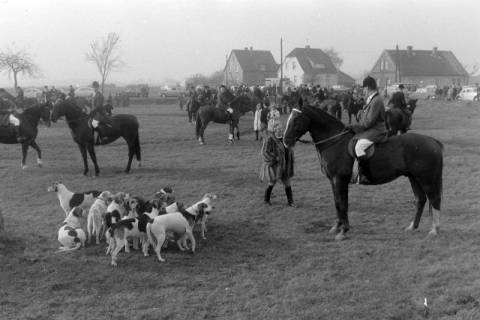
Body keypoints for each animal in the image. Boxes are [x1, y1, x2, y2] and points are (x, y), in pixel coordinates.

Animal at [284, 102, 444, 240]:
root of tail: (433, 141)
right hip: (413, 177)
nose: (285, 141)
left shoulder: (339, 180)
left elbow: (342, 204)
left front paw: (343, 231)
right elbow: (337, 203)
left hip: (426, 179)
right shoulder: (334, 181)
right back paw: (412, 227)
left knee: (434, 199)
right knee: (420, 199)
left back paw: (434, 230)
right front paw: (337, 227)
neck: (334, 142)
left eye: (296, 119)